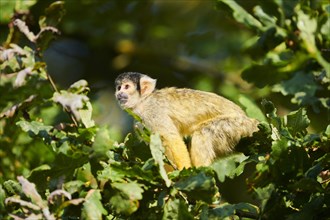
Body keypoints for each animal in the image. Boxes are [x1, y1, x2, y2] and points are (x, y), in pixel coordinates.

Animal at [114, 72, 260, 170]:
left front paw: (182, 173)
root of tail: (249, 121)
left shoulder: (153, 111)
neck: (142, 102)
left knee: (204, 132)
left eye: (126, 87)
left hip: (237, 126)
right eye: (119, 88)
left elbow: (171, 138)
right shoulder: (139, 123)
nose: (119, 94)